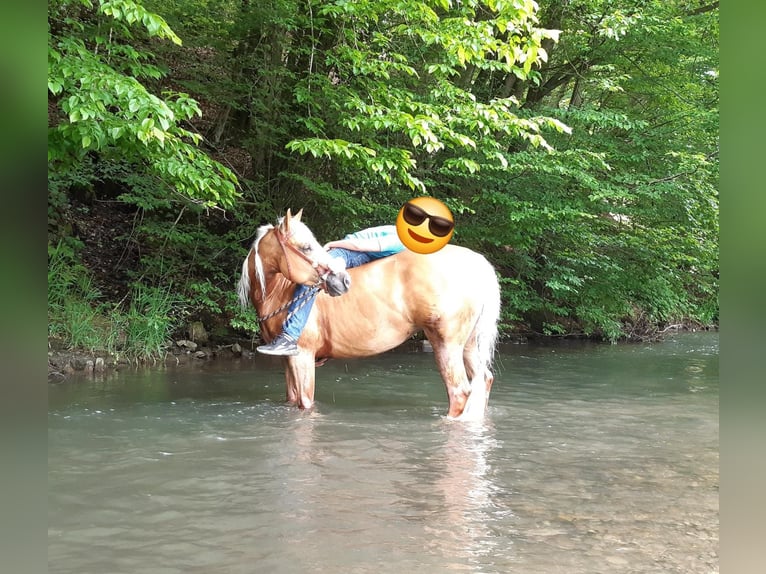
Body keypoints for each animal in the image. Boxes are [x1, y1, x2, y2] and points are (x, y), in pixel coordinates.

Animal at [240, 209, 504, 420]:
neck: (281, 292)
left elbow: (305, 402)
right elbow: (292, 399)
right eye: (306, 247)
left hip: (446, 344)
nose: (342, 281)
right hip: (468, 344)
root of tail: (477, 265)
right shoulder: (288, 359)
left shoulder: (302, 356)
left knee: (459, 392)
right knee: (484, 380)